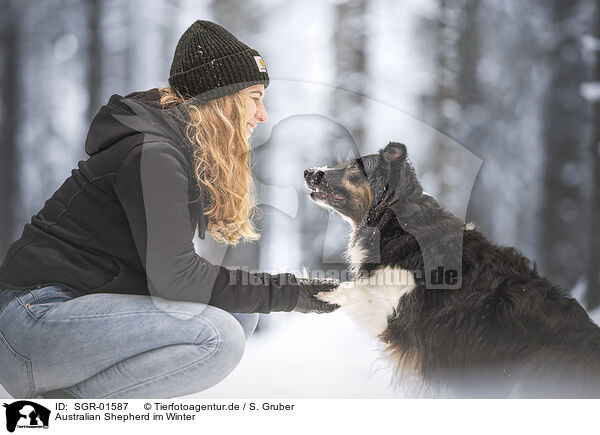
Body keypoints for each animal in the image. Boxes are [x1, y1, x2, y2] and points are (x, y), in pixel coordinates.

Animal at [304, 142, 600, 398]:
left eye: (356, 167)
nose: (309, 172)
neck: (396, 223)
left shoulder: (399, 316)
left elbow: (353, 290)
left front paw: (318, 287)